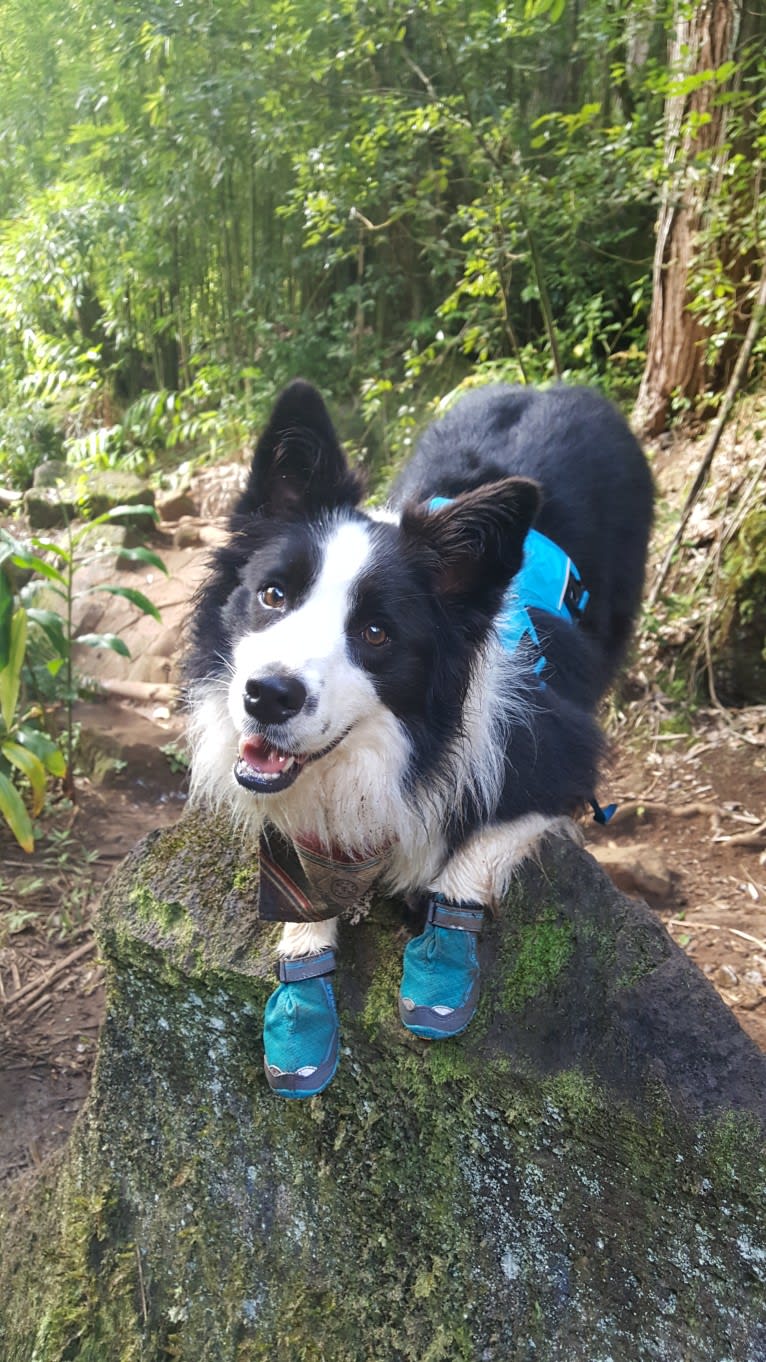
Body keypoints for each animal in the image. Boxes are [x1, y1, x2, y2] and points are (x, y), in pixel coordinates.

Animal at [185, 381, 648, 1095]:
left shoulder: (558, 747)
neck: (400, 746)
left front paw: (438, 962)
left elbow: (473, 854)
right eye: (273, 595)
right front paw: (302, 985)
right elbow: (302, 882)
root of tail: (556, 387)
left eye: (376, 633)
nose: (267, 696)